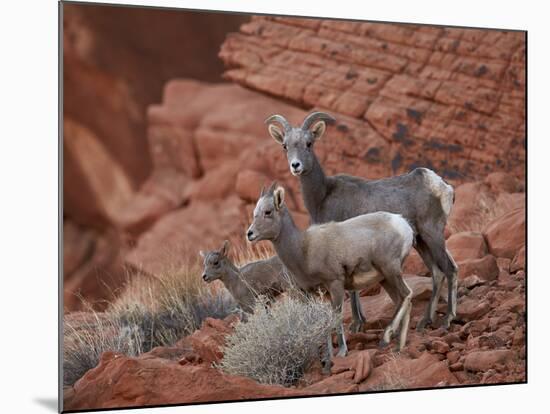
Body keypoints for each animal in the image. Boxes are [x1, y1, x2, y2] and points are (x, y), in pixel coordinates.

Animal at [248, 183, 416, 370]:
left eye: (268, 212)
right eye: (255, 212)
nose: (250, 234)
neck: (304, 249)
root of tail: (403, 225)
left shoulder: (335, 285)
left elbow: (335, 319)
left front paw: (341, 353)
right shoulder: (319, 294)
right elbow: (324, 322)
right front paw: (327, 360)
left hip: (390, 271)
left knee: (407, 294)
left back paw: (386, 338)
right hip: (385, 279)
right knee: (401, 300)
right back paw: (399, 346)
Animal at [266, 112, 460, 330]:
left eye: (309, 143)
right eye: (285, 146)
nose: (296, 166)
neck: (323, 195)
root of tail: (441, 185)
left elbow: (352, 290)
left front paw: (357, 324)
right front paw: (360, 321)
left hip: (432, 234)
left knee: (449, 269)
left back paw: (447, 320)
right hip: (421, 242)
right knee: (437, 272)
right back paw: (425, 321)